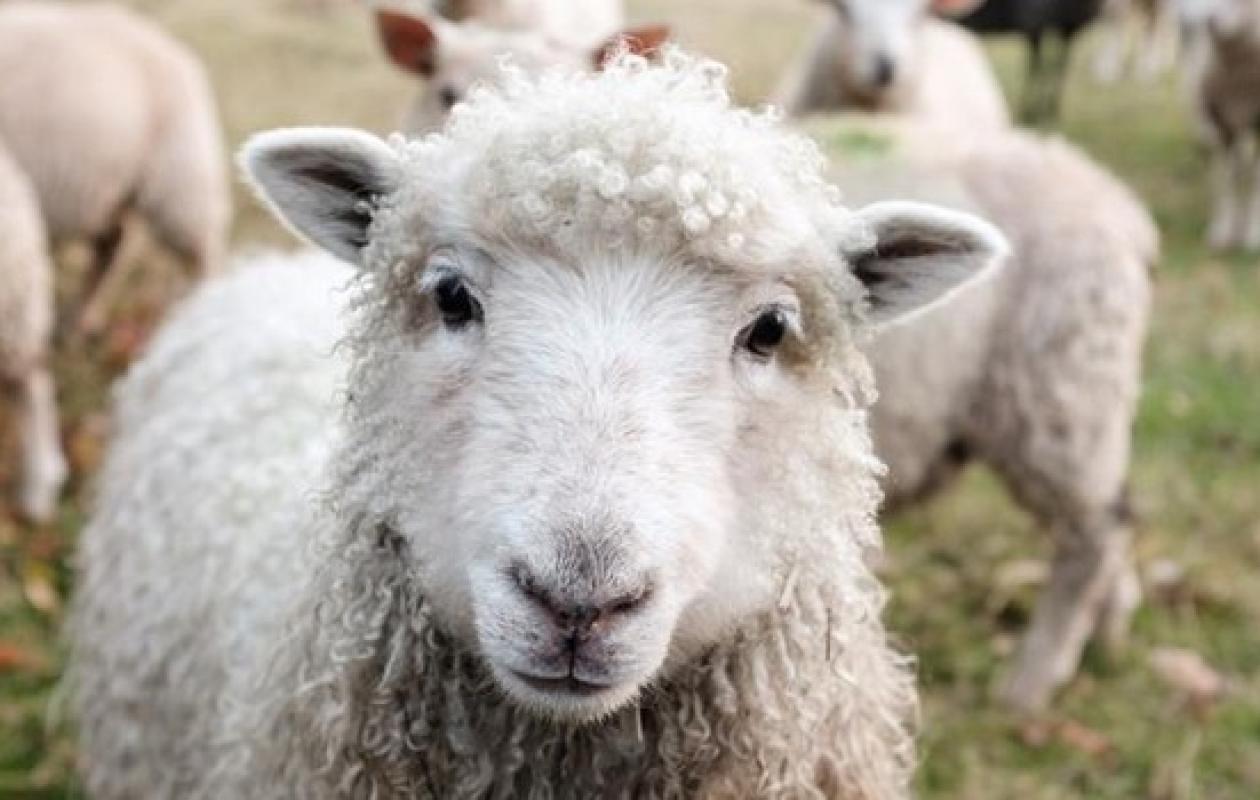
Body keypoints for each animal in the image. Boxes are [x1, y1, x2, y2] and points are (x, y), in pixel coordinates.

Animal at [0, 1, 230, 335]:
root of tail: (177, 52)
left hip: (179, 176)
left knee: (201, 253)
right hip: (106, 188)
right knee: (111, 246)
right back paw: (80, 319)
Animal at [933, 0, 1108, 122]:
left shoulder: (1065, 29)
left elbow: (1052, 68)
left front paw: (1045, 112)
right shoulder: (1035, 26)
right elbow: (1038, 68)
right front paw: (1031, 112)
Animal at [1177, 0, 1260, 250]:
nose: (1209, 23)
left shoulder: (1256, 123)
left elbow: (1254, 178)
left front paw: (1253, 234)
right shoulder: (1218, 122)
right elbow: (1223, 177)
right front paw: (1221, 232)